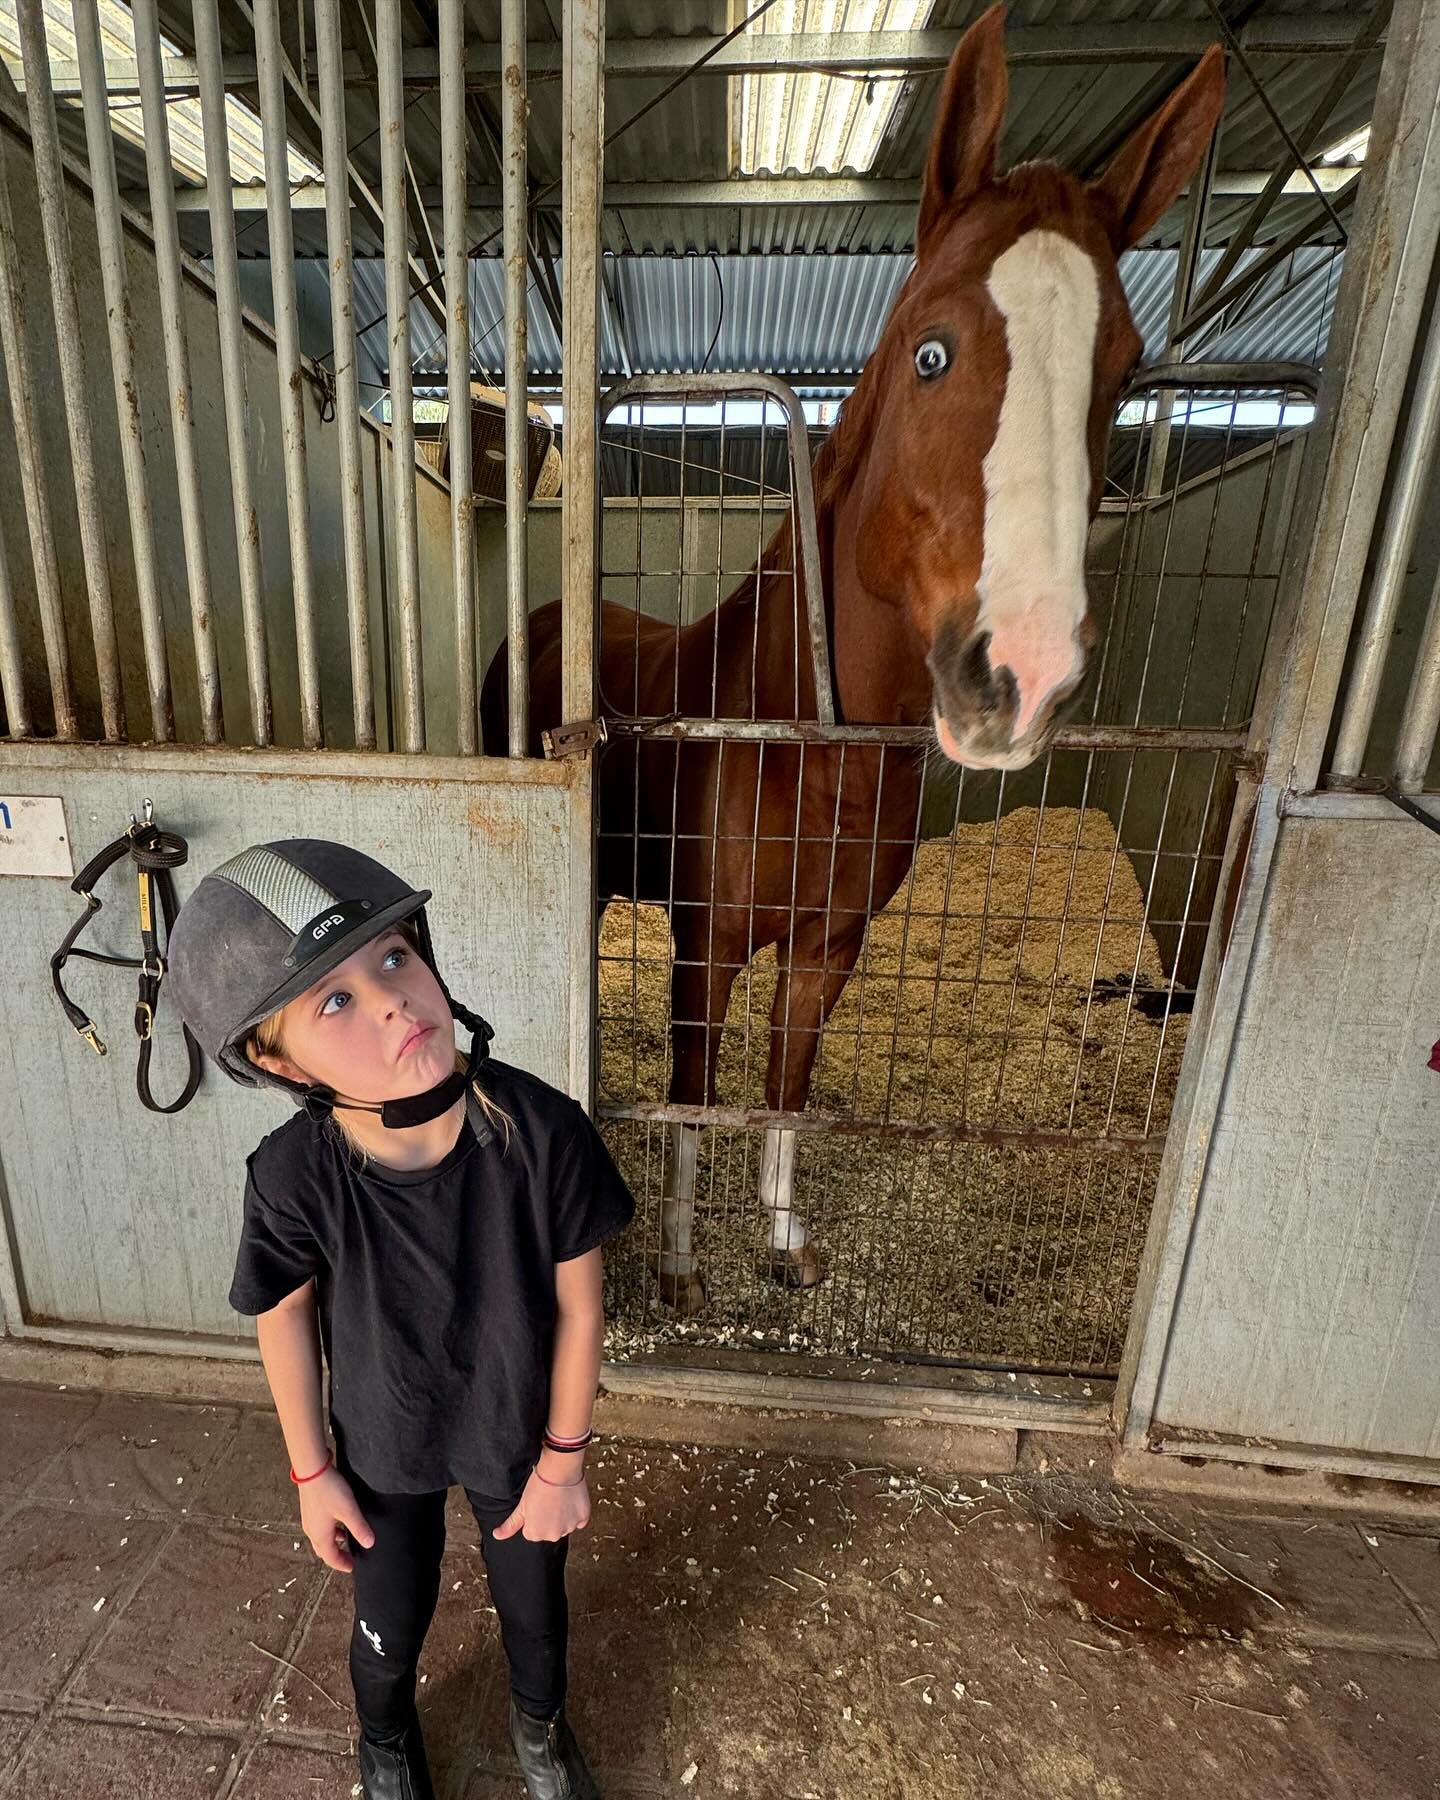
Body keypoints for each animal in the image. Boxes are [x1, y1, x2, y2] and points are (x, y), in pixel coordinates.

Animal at [478, 7, 1224, 1317]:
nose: (1020, 672)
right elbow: (696, 1099)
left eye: (1126, 369)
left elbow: (787, 1087)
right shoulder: (708, 945)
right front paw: (681, 1270)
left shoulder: (828, 952)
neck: (807, 745)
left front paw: (785, 1245)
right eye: (930, 351)